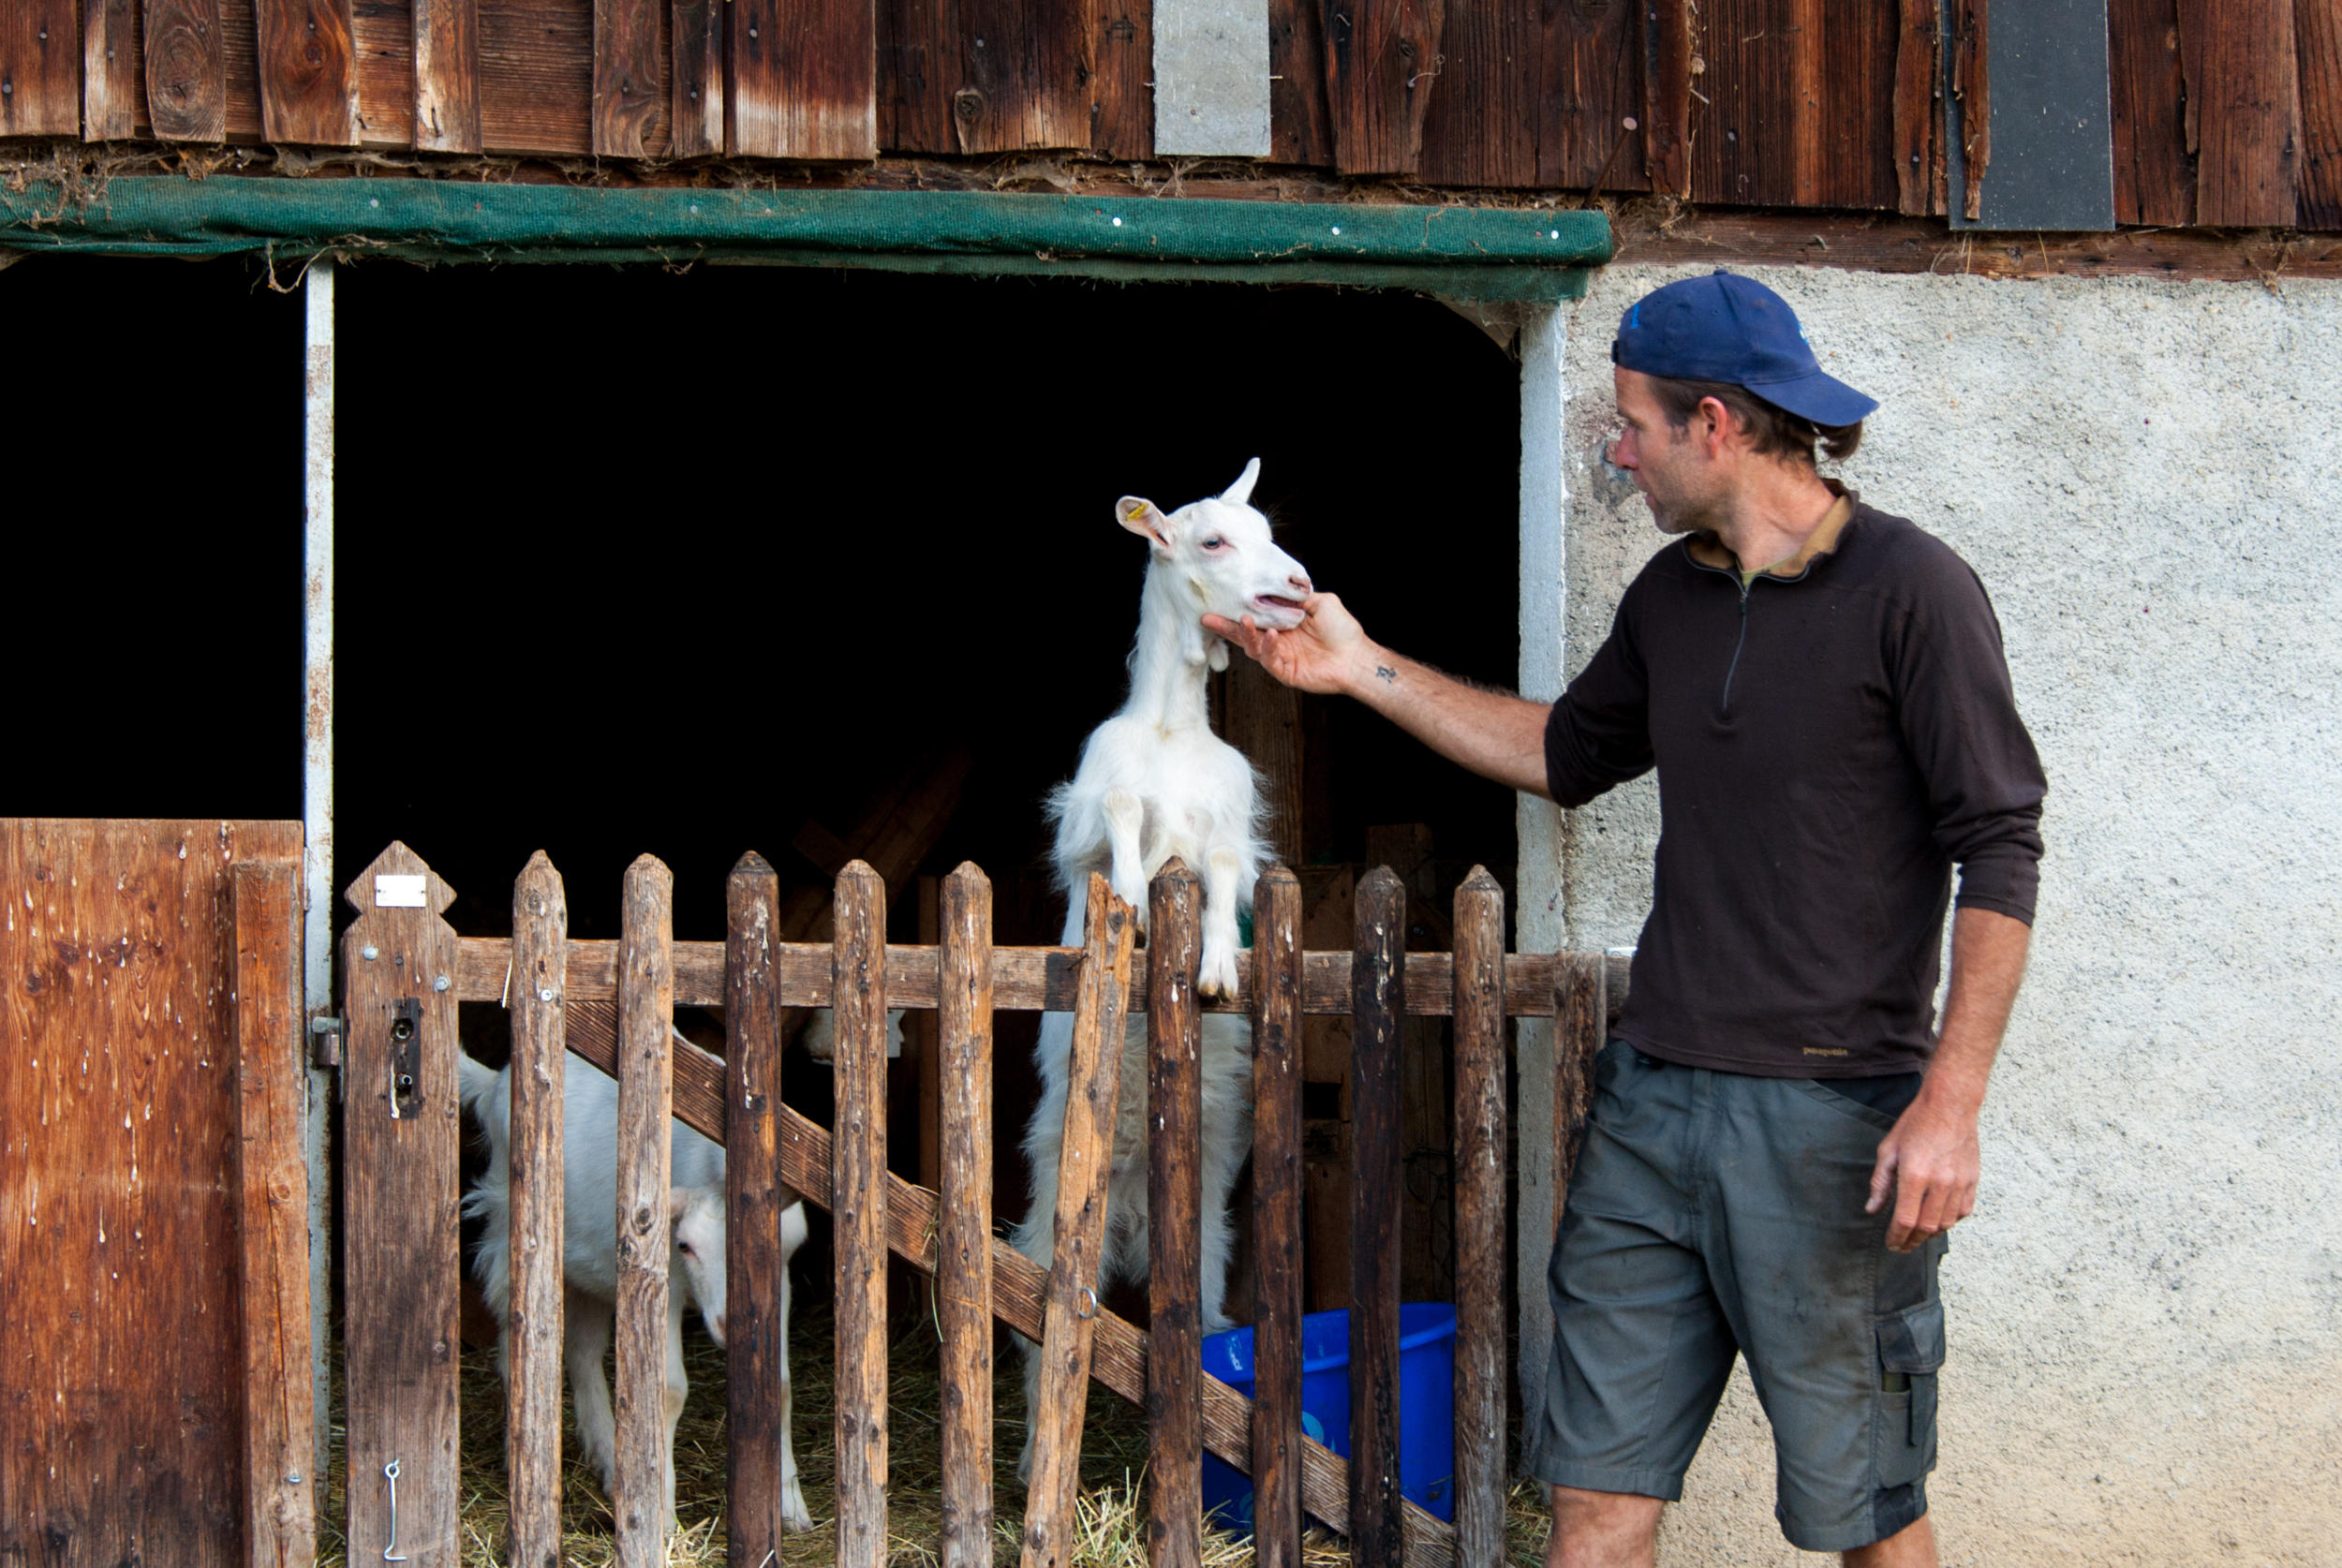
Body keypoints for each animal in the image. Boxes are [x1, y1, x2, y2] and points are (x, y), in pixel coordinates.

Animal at [461, 1048, 820, 1545]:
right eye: (685, 1245)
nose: (728, 1326)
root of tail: (496, 1081)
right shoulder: (660, 1283)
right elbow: (667, 1390)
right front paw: (662, 1518)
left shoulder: (781, 1280)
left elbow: (781, 1386)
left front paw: (791, 1507)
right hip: (508, 1231)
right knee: (519, 1344)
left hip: (592, 1266)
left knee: (583, 1351)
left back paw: (612, 1463)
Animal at [1007, 461, 1312, 1479]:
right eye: (1212, 540)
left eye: (1269, 531)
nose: (1298, 587)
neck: (1174, 732)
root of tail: (1139, 1219)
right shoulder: (1091, 816)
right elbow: (1126, 824)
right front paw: (1137, 908)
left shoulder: (1232, 834)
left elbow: (1215, 870)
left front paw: (1214, 964)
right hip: (1051, 1205)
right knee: (1038, 1331)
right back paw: (1031, 1458)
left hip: (1212, 1232)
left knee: (1209, 1318)